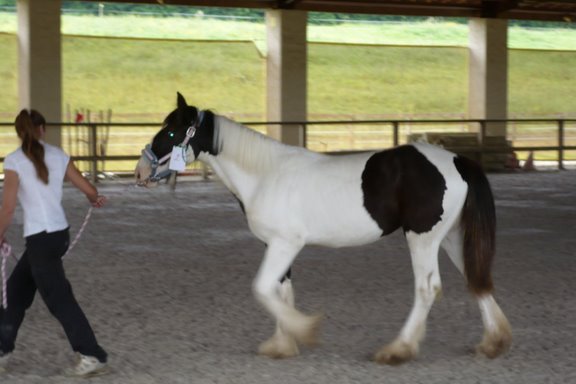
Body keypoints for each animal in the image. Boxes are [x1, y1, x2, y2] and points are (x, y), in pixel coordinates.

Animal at [136, 92, 512, 364]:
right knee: (476, 279)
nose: (140, 172)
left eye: (171, 132)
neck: (265, 174)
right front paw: (282, 344)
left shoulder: (285, 244)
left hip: (422, 238)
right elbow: (280, 291)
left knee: (427, 289)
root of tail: (457, 160)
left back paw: (398, 350)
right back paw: (493, 343)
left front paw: (306, 330)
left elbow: (262, 289)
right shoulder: (278, 246)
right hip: (450, 238)